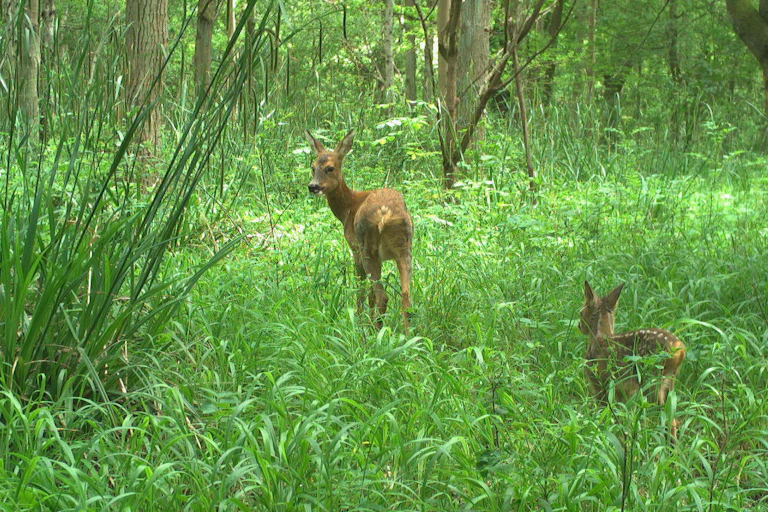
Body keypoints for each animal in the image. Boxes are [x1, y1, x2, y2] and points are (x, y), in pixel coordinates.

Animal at [305, 129, 413, 334]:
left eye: (330, 168)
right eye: (313, 167)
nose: (313, 186)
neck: (348, 208)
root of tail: (385, 214)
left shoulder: (354, 247)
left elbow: (361, 289)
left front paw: (361, 323)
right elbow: (369, 292)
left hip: (366, 245)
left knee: (382, 296)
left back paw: (374, 332)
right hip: (405, 247)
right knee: (405, 294)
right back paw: (407, 335)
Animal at [579, 281, 686, 437]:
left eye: (580, 312)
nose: (579, 326)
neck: (599, 336)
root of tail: (680, 349)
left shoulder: (598, 383)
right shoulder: (620, 392)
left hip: (652, 379)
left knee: (668, 419)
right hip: (670, 381)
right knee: (673, 418)